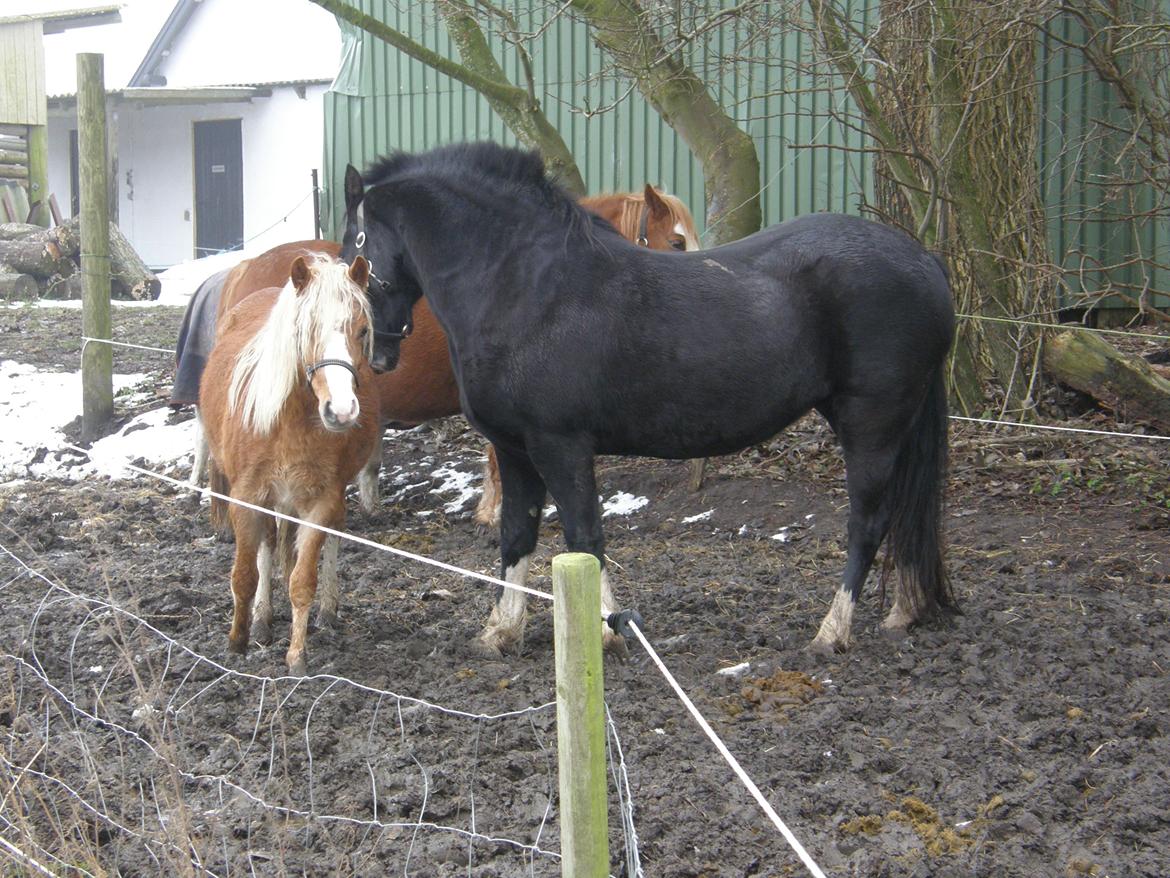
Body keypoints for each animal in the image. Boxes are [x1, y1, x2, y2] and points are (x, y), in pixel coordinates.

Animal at [201, 254, 379, 674]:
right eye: (305, 330)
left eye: (362, 330)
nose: (341, 411)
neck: (290, 423)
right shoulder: (247, 498)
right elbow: (245, 575)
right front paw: (237, 642)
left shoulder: (321, 502)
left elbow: (302, 581)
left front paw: (297, 655)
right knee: (267, 544)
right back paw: (262, 619)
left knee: (333, 534)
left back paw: (326, 612)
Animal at [341, 144, 959, 655]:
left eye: (354, 249)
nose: (376, 351)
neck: (526, 286)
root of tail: (925, 261)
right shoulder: (516, 451)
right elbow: (516, 536)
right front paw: (500, 632)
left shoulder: (560, 446)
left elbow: (584, 536)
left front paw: (607, 632)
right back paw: (904, 611)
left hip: (872, 423)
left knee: (868, 523)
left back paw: (831, 633)